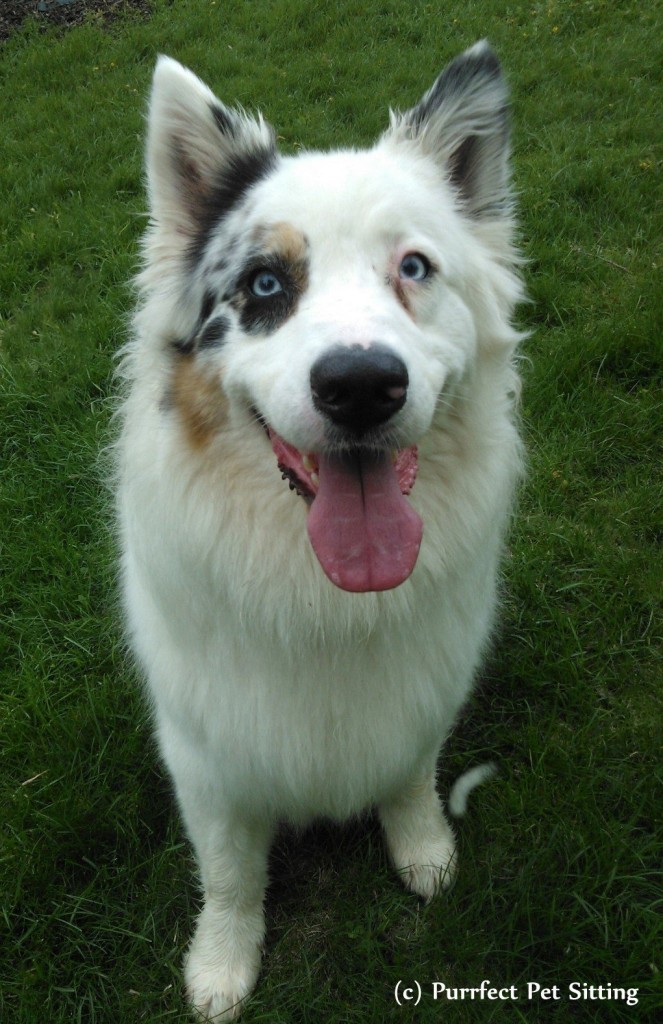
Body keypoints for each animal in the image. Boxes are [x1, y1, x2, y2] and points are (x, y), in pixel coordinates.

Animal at [116, 39, 524, 1015]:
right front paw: (221, 966)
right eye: (265, 284)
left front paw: (425, 854)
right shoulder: (207, 756)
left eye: (413, 268)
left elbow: (411, 778)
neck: (326, 596)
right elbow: (230, 873)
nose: (360, 386)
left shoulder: (419, 696)